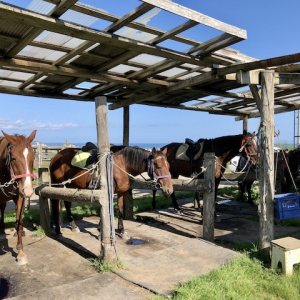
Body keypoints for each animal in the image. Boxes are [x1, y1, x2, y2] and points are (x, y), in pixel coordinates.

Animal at [0, 131, 37, 264]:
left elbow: (19, 224)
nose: (28, 190)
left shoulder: (20, 198)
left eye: (33, 158)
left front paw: (20, 252)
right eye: (14, 158)